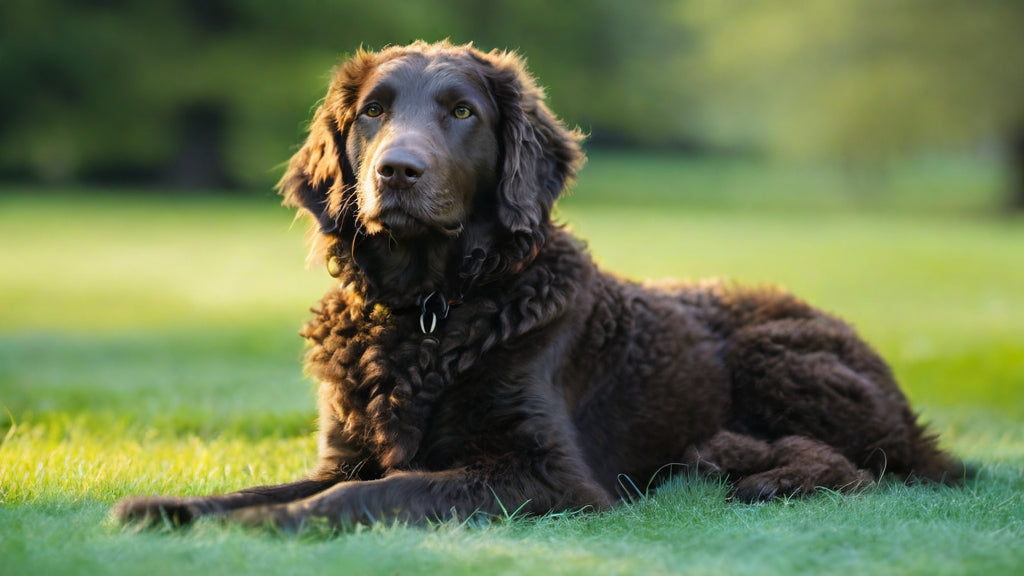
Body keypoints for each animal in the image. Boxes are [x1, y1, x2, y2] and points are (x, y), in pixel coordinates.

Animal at [114, 41, 966, 528]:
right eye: (371, 113)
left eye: (462, 112)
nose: (397, 172)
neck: (430, 315)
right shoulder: (346, 452)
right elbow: (272, 487)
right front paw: (174, 509)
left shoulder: (550, 475)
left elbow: (374, 494)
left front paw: (254, 530)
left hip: (777, 357)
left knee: (869, 468)